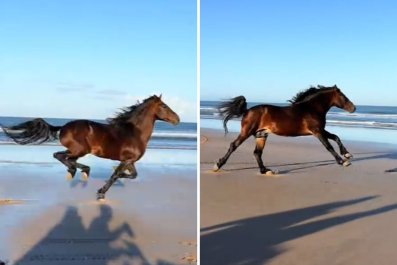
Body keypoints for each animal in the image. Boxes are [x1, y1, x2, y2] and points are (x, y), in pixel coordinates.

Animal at [2, 94, 179, 199]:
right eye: (164, 106)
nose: (177, 119)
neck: (134, 132)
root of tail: (63, 127)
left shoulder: (130, 161)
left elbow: (132, 175)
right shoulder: (127, 160)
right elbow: (116, 175)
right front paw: (101, 192)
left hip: (76, 151)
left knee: (63, 157)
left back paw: (75, 171)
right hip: (81, 150)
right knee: (60, 156)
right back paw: (81, 171)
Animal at [213, 85, 356, 174]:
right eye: (343, 96)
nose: (353, 108)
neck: (311, 109)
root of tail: (247, 110)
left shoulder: (320, 130)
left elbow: (336, 137)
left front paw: (347, 154)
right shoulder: (317, 131)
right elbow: (328, 146)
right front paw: (343, 161)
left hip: (261, 135)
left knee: (257, 153)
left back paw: (266, 171)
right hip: (247, 132)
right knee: (234, 145)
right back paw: (217, 166)